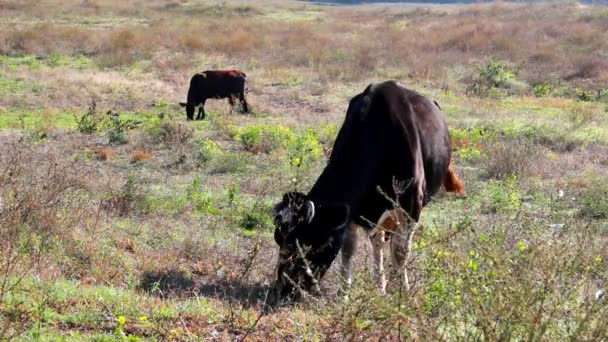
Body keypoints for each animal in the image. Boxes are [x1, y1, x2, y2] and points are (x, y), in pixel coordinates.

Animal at [272, 81, 466, 300]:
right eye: (278, 239)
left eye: (304, 243)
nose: (283, 289)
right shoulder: (352, 210)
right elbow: (349, 248)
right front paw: (344, 293)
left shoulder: (411, 204)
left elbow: (400, 250)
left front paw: (403, 292)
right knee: (379, 241)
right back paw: (380, 284)